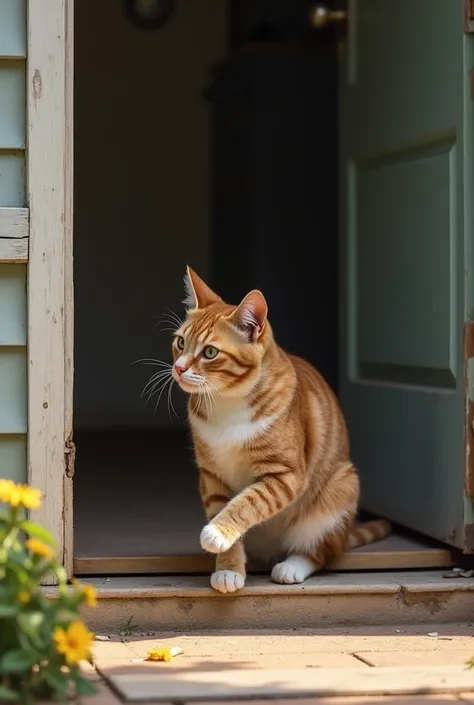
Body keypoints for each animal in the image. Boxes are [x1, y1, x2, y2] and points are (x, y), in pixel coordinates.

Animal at [171, 266, 392, 592]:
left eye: (210, 352)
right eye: (181, 343)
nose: (179, 368)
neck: (226, 402)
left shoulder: (285, 475)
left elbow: (247, 503)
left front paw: (217, 532)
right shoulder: (212, 477)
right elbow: (225, 507)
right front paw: (228, 569)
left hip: (340, 489)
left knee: (320, 552)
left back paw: (291, 566)